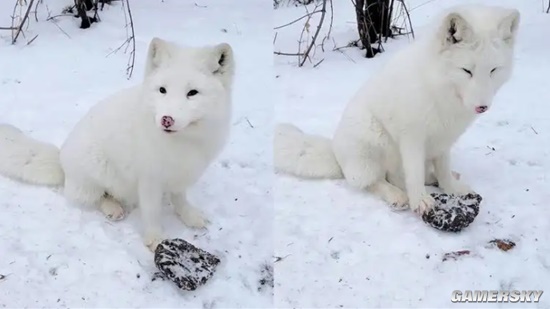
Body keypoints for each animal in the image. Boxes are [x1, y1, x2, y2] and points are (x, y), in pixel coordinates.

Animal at [0, 38, 235, 250]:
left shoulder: (181, 174)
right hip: (97, 171)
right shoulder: (149, 178)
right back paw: (112, 207)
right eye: (162, 90)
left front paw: (189, 215)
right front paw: (155, 239)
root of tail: (61, 162)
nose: (166, 119)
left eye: (192, 93)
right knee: (93, 197)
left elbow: (180, 199)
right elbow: (151, 211)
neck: (182, 142)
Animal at [276, 3, 520, 214]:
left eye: (493, 70)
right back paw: (397, 196)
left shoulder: (443, 140)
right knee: (378, 181)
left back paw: (434, 178)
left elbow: (442, 169)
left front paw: (450, 187)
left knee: (403, 176)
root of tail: (336, 154)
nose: (482, 106)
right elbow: (413, 175)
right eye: (466, 70)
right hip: (376, 142)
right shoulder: (412, 137)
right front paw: (420, 201)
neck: (439, 89)